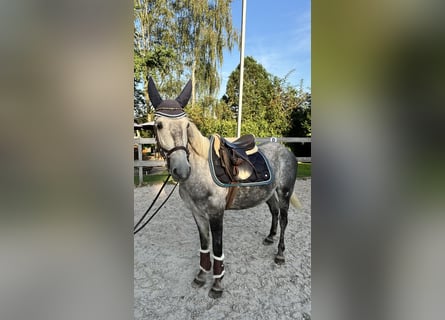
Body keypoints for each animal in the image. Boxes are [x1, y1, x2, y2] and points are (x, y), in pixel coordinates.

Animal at [147, 79, 296, 298]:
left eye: (186, 125)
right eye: (159, 125)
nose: (182, 170)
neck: (201, 170)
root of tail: (285, 150)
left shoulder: (216, 214)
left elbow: (217, 248)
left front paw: (217, 285)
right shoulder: (197, 214)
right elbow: (204, 245)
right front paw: (201, 276)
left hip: (284, 192)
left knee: (284, 220)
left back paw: (280, 254)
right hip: (268, 194)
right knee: (275, 212)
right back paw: (270, 237)